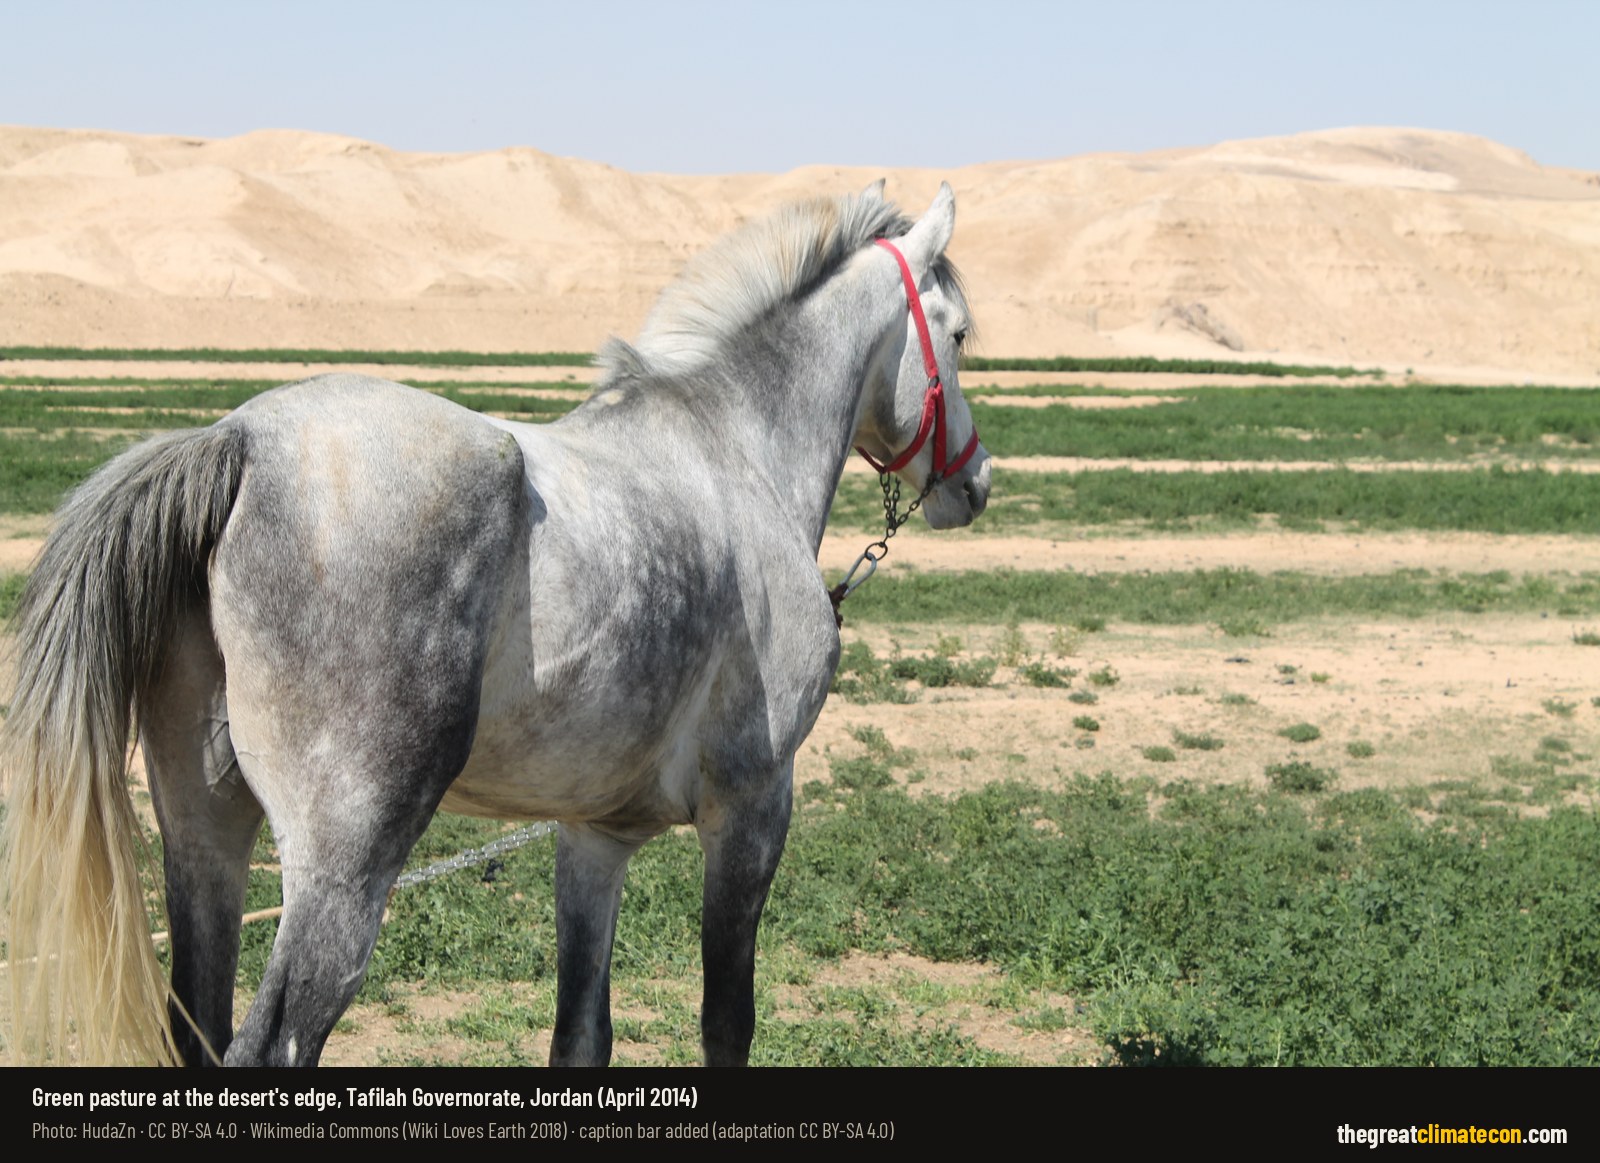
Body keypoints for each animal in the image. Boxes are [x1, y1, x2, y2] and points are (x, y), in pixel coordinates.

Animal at [0, 181, 990, 1067]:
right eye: (959, 334)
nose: (975, 482)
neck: (735, 452)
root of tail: (238, 442)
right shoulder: (751, 808)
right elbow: (726, 1024)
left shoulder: (594, 837)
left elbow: (581, 1035)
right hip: (344, 869)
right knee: (271, 1043)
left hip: (205, 837)